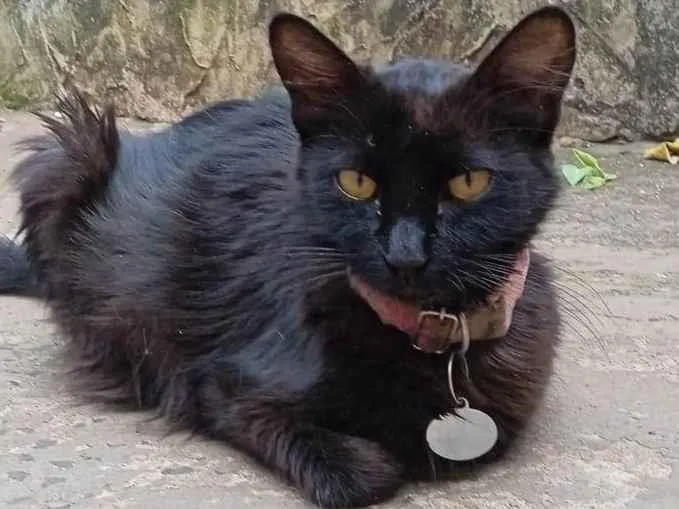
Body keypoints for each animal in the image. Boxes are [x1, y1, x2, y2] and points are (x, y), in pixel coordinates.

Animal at [0, 6, 576, 508]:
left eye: (469, 182)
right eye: (356, 182)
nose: (406, 255)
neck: (431, 335)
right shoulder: (219, 386)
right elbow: (360, 476)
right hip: (68, 151)